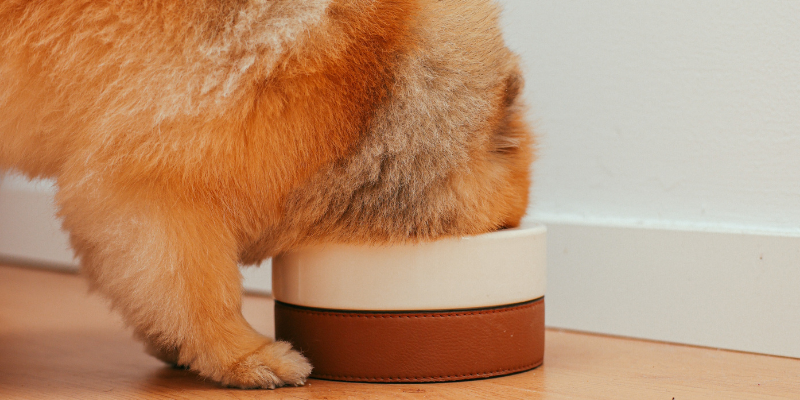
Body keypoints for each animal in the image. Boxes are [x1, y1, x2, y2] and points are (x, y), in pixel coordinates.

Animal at [1, 0, 536, 390]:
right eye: (505, 226)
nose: (513, 230)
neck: (371, 93)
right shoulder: (156, 182)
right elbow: (199, 288)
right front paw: (244, 356)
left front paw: (173, 344)